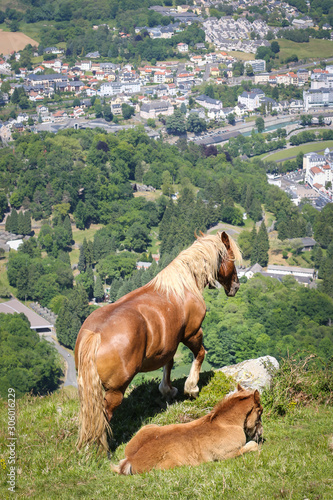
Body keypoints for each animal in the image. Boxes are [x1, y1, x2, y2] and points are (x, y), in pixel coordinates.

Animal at [74, 232, 241, 452]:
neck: (183, 286)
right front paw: (191, 388)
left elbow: (168, 364)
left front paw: (167, 390)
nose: (236, 286)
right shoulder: (192, 333)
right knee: (104, 415)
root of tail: (95, 335)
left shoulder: (170, 342)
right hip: (115, 390)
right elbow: (200, 354)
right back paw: (104, 449)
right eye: (232, 259)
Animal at [111, 384, 262, 474]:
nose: (260, 433)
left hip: (149, 426)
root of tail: (130, 459)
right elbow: (253, 446)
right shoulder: (227, 455)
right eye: (260, 411)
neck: (226, 423)